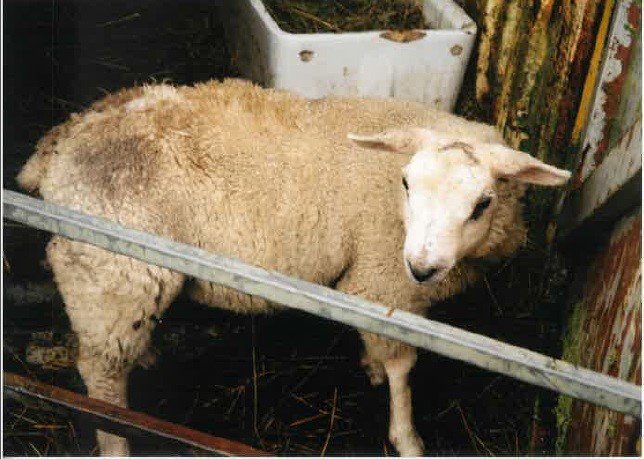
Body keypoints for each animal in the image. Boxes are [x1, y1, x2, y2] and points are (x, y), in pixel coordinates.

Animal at [17, 78, 571, 456]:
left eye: (482, 204)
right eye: (407, 183)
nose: (422, 267)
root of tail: (60, 142)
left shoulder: (378, 285)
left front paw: (371, 367)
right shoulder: (382, 282)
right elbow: (402, 368)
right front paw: (407, 435)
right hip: (112, 271)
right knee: (100, 373)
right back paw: (117, 439)